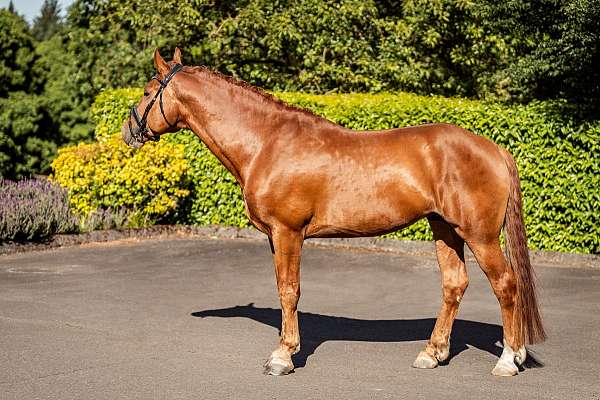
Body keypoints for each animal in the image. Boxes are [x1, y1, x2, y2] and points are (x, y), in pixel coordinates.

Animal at [122, 48, 544, 376]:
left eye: (147, 92)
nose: (128, 131)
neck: (266, 142)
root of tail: (494, 149)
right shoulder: (276, 237)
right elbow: (284, 289)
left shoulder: (287, 232)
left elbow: (289, 290)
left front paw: (282, 357)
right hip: (445, 229)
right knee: (454, 284)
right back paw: (434, 353)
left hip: (480, 235)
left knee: (506, 284)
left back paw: (508, 359)